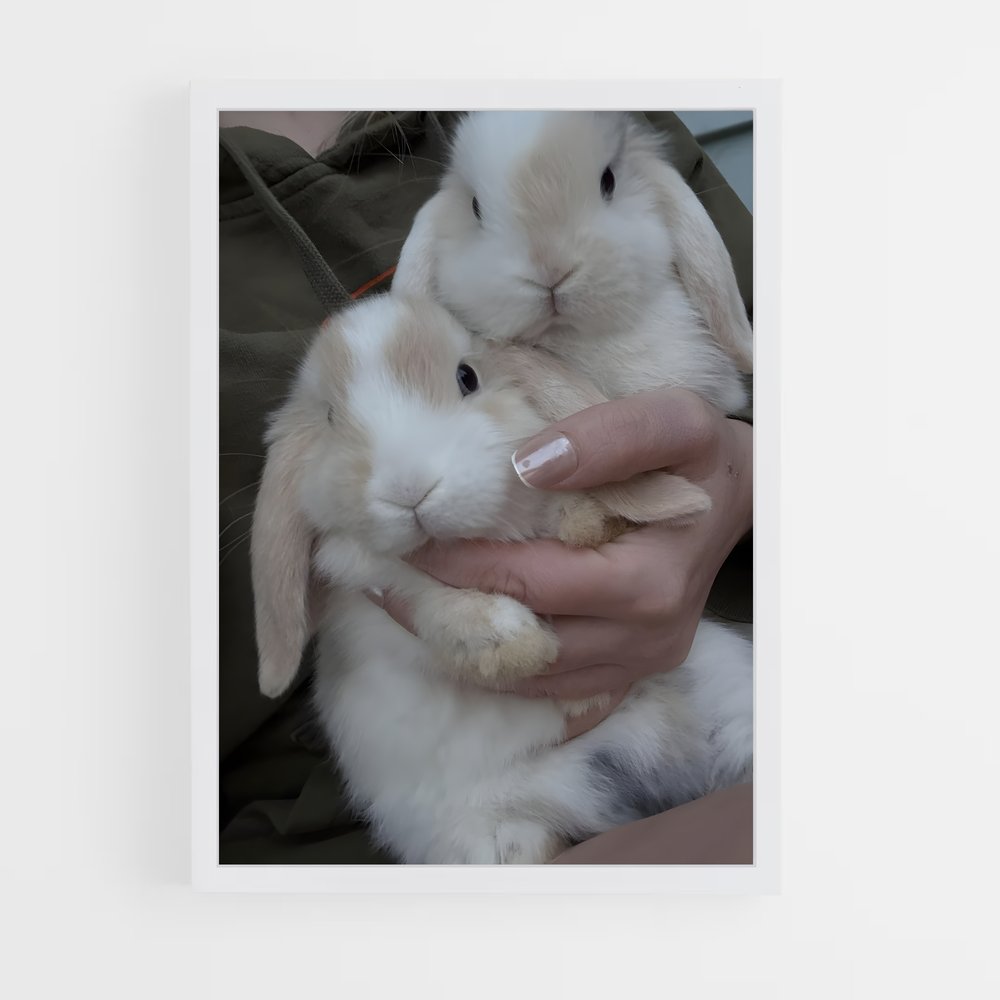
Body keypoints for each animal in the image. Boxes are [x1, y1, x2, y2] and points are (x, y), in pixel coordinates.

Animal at [250, 292, 753, 863]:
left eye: (467, 377)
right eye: (331, 417)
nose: (408, 489)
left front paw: (590, 522)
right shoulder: (377, 580)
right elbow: (431, 601)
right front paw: (516, 646)